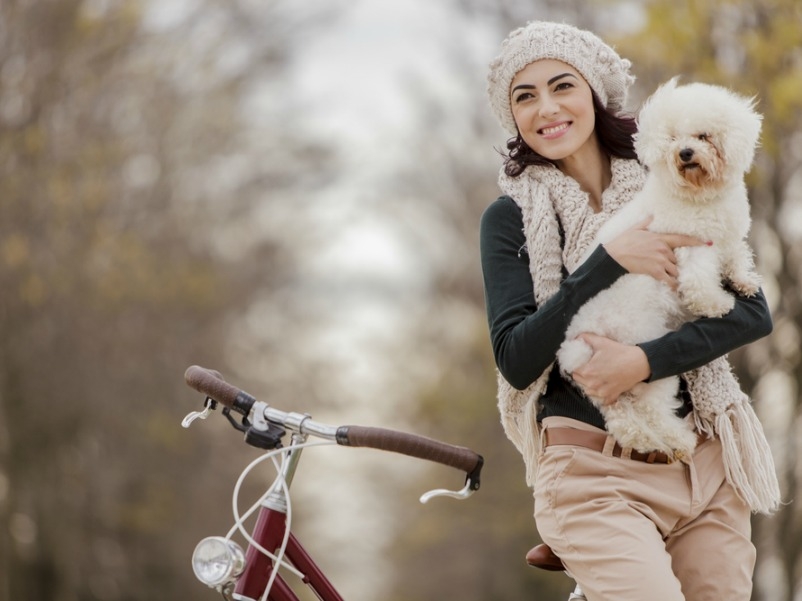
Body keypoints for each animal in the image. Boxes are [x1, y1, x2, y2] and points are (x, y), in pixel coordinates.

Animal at [552, 77, 760, 458]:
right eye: (674, 138)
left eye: (703, 136)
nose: (685, 153)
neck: (698, 195)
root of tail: (575, 347)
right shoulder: (694, 247)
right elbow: (699, 284)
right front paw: (717, 304)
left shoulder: (728, 238)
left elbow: (738, 257)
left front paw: (744, 282)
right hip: (640, 360)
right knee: (649, 409)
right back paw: (678, 439)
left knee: (624, 417)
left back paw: (657, 440)